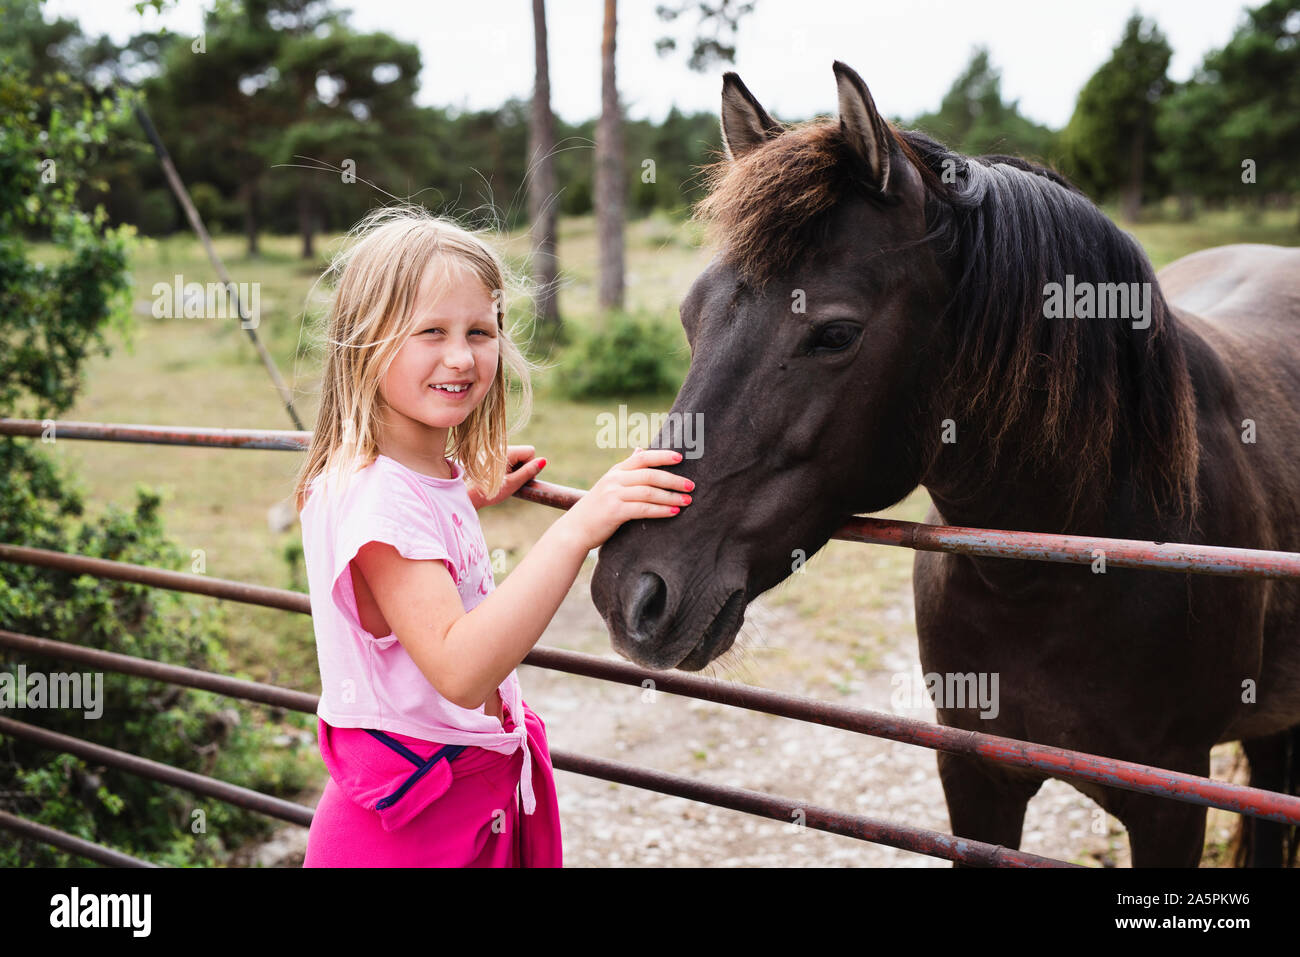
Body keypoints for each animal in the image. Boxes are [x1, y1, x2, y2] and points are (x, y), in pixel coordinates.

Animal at [590, 59, 1300, 868]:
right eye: (690, 316)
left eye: (835, 333)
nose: (630, 591)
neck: (1058, 563)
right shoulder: (972, 774)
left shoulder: (1170, 805)